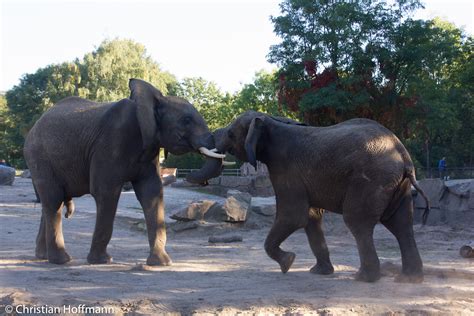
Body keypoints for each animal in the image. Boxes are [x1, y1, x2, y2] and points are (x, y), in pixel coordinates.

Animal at [214, 111, 430, 284]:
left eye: (231, 133)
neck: (270, 121)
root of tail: (403, 155)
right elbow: (311, 217)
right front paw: (318, 272)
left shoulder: (286, 169)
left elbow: (294, 216)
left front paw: (288, 263)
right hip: (395, 185)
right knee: (401, 224)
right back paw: (409, 279)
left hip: (372, 181)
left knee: (358, 222)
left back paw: (364, 278)